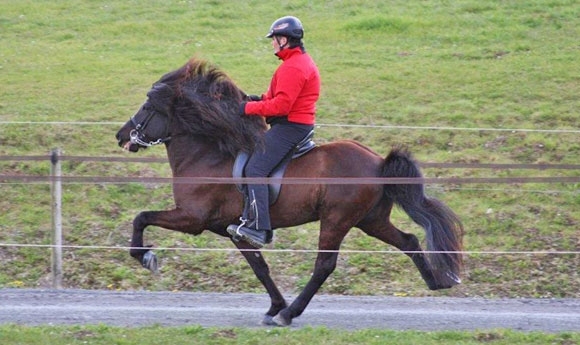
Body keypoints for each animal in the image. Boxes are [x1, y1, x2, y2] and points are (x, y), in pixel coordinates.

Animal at [115, 56, 464, 326]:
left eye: (147, 106)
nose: (121, 136)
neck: (207, 154)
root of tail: (378, 162)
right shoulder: (232, 230)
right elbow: (260, 267)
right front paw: (274, 306)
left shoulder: (192, 219)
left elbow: (141, 217)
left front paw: (145, 256)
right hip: (371, 220)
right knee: (409, 241)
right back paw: (438, 281)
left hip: (337, 220)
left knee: (324, 265)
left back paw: (291, 314)